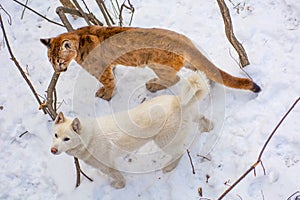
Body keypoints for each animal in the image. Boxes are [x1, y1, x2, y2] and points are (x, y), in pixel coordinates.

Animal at [50, 72, 212, 189]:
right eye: (55, 135)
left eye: (67, 139)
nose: (53, 150)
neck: (89, 139)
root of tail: (177, 101)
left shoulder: (108, 166)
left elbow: (119, 177)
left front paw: (119, 186)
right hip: (192, 117)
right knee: (203, 119)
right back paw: (209, 128)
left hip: (165, 142)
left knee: (179, 153)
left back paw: (169, 167)